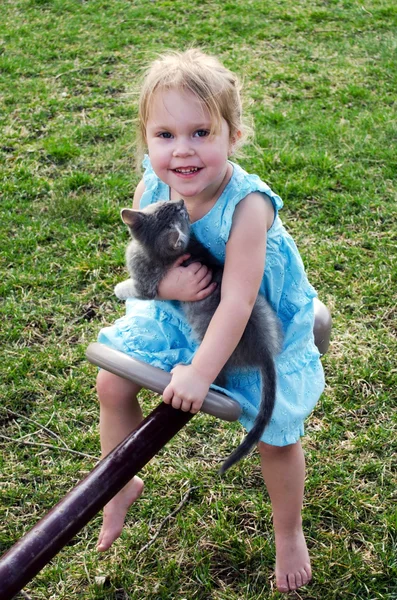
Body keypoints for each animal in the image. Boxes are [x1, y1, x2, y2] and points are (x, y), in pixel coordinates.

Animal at [114, 199, 282, 472]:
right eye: (166, 204)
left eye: (180, 211)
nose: (181, 201)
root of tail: (263, 349)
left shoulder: (146, 284)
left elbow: (133, 288)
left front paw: (119, 288)